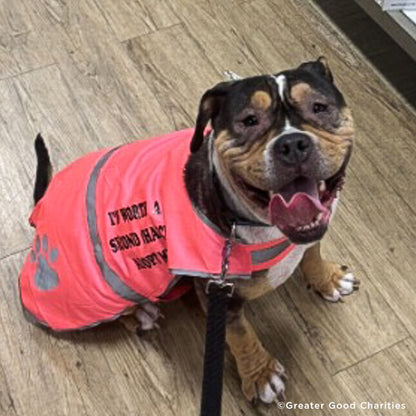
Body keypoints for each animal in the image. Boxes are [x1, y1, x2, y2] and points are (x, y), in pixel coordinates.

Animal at [19, 57, 358, 404]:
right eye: (249, 120)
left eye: (319, 107)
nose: (292, 143)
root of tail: (41, 207)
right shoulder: (219, 294)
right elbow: (241, 335)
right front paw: (260, 374)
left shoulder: (310, 233)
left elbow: (313, 253)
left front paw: (327, 278)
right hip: (98, 293)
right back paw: (140, 312)